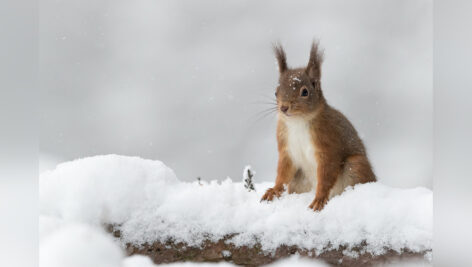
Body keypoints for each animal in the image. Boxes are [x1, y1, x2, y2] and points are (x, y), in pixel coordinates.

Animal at [260, 42, 374, 213]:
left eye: (305, 92)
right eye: (276, 92)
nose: (284, 108)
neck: (298, 122)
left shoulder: (328, 145)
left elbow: (327, 173)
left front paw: (319, 199)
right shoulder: (286, 148)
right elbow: (283, 172)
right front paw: (274, 190)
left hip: (356, 165)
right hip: (299, 180)